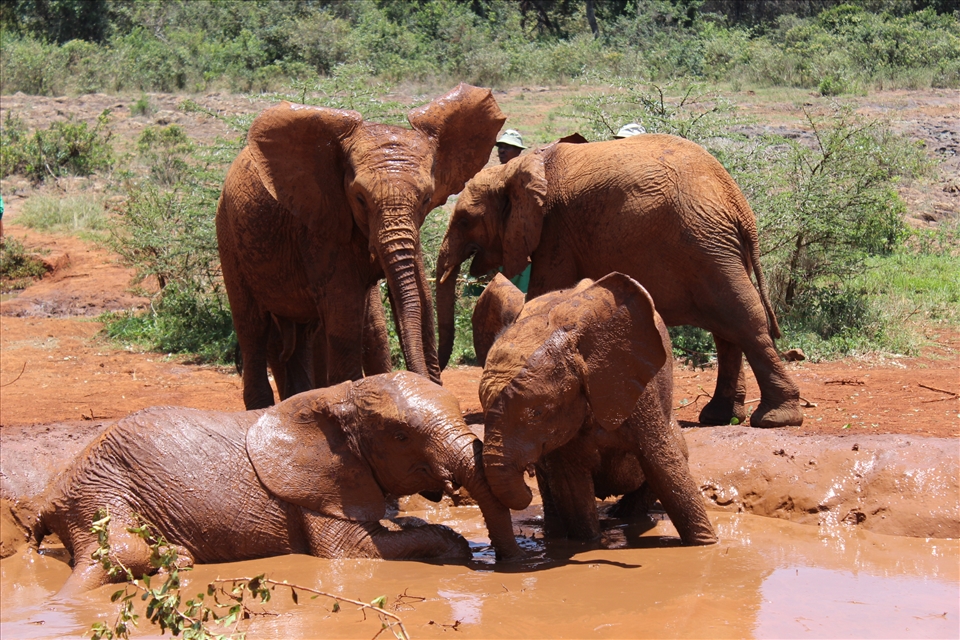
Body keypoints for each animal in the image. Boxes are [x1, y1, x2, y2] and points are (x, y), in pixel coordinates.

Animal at [28, 371, 522, 596]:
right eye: (401, 437)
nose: (508, 563)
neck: (338, 395)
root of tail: (50, 497)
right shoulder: (314, 488)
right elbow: (350, 551)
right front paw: (456, 549)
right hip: (100, 488)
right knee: (122, 548)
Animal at [218, 83, 506, 409]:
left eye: (426, 198)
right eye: (359, 198)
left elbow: (418, 299)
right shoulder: (321, 223)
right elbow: (345, 315)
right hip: (228, 234)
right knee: (252, 326)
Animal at [436, 133, 803, 428]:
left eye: (465, 219)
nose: (439, 381)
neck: (516, 169)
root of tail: (738, 205)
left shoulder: (555, 231)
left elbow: (545, 293)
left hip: (704, 244)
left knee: (742, 319)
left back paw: (774, 419)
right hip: (715, 247)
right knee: (727, 329)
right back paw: (719, 417)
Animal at [478, 272, 717, 545]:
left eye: (537, 413)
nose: (525, 483)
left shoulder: (632, 385)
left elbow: (664, 466)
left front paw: (706, 545)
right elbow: (572, 486)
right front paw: (589, 544)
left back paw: (619, 514)